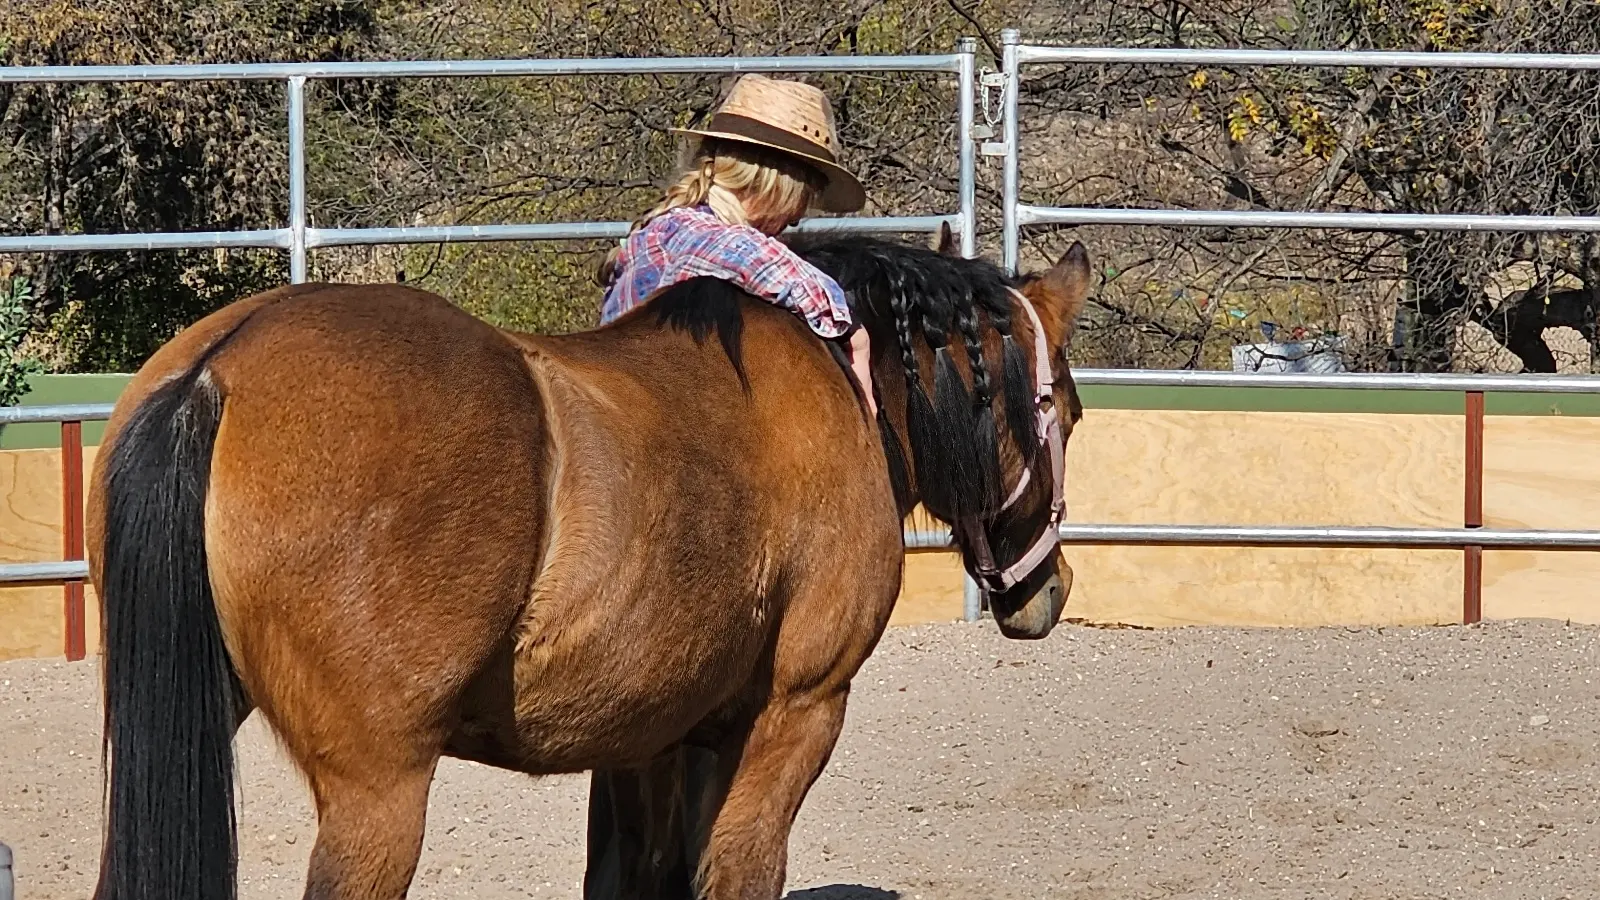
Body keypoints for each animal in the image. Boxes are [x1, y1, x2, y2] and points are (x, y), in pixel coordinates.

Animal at [83, 222, 1092, 900]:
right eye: (1071, 414)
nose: (1049, 588)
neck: (839, 377)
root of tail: (217, 368)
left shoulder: (655, 736)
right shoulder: (797, 711)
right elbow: (740, 871)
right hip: (378, 792)